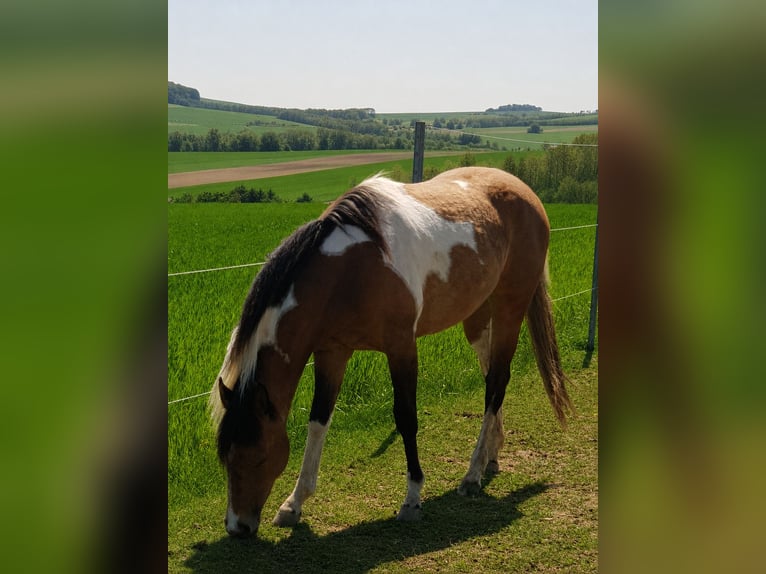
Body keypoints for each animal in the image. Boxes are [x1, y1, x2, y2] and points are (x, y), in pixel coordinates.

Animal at [209, 166, 574, 537]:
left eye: (257, 455)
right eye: (225, 458)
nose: (238, 527)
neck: (349, 271)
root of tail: (526, 192)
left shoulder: (401, 348)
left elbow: (406, 417)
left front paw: (412, 499)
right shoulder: (332, 353)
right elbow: (318, 421)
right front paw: (293, 504)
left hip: (510, 309)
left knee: (497, 381)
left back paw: (471, 474)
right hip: (477, 318)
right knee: (491, 377)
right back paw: (491, 454)